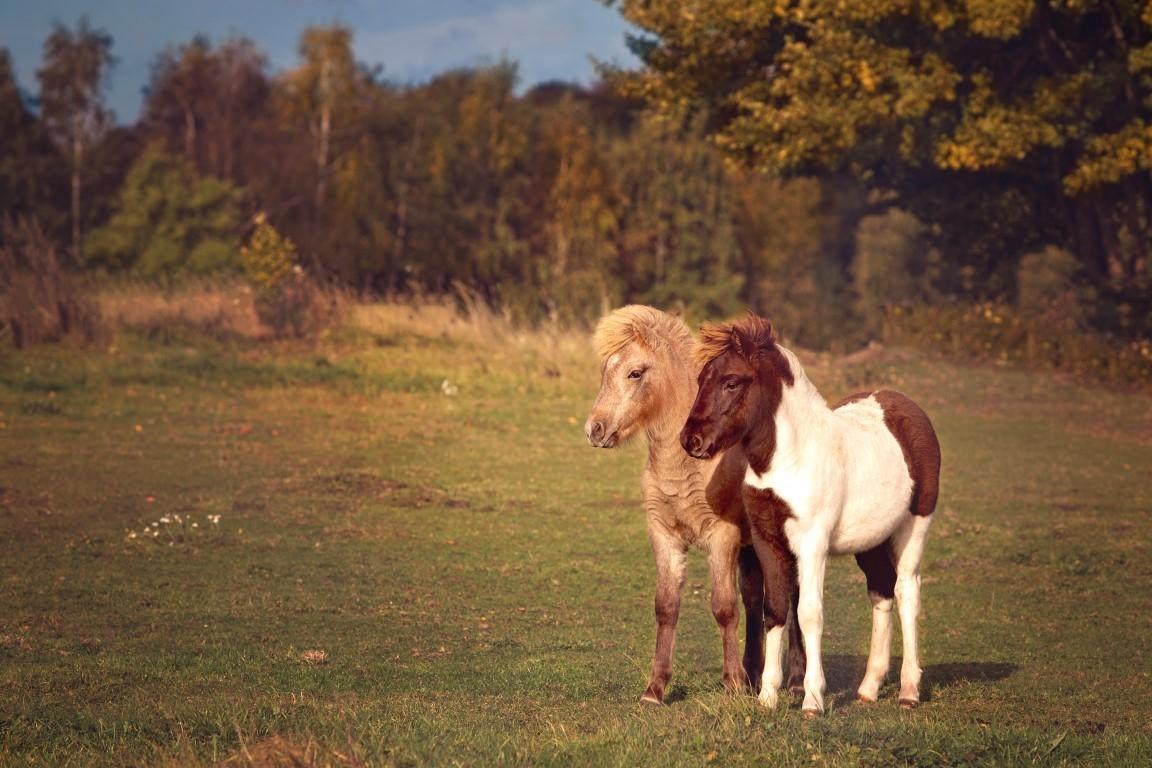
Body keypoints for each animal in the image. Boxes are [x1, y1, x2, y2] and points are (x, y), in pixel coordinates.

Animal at [585, 303, 801, 704]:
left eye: (635, 373)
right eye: (606, 370)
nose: (595, 429)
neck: (688, 462)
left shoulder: (722, 536)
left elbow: (724, 607)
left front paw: (732, 684)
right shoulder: (665, 535)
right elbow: (667, 607)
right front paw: (655, 689)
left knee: (791, 594)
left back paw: (794, 679)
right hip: (752, 546)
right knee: (755, 597)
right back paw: (754, 672)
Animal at [677, 315, 940, 718]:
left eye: (732, 381)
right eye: (701, 379)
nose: (691, 440)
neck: (788, 457)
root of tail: (910, 409)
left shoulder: (812, 543)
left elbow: (809, 613)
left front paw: (812, 699)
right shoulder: (767, 541)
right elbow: (774, 611)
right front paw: (768, 696)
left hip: (913, 528)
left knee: (907, 592)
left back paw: (909, 690)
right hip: (871, 541)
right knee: (881, 593)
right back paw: (868, 688)